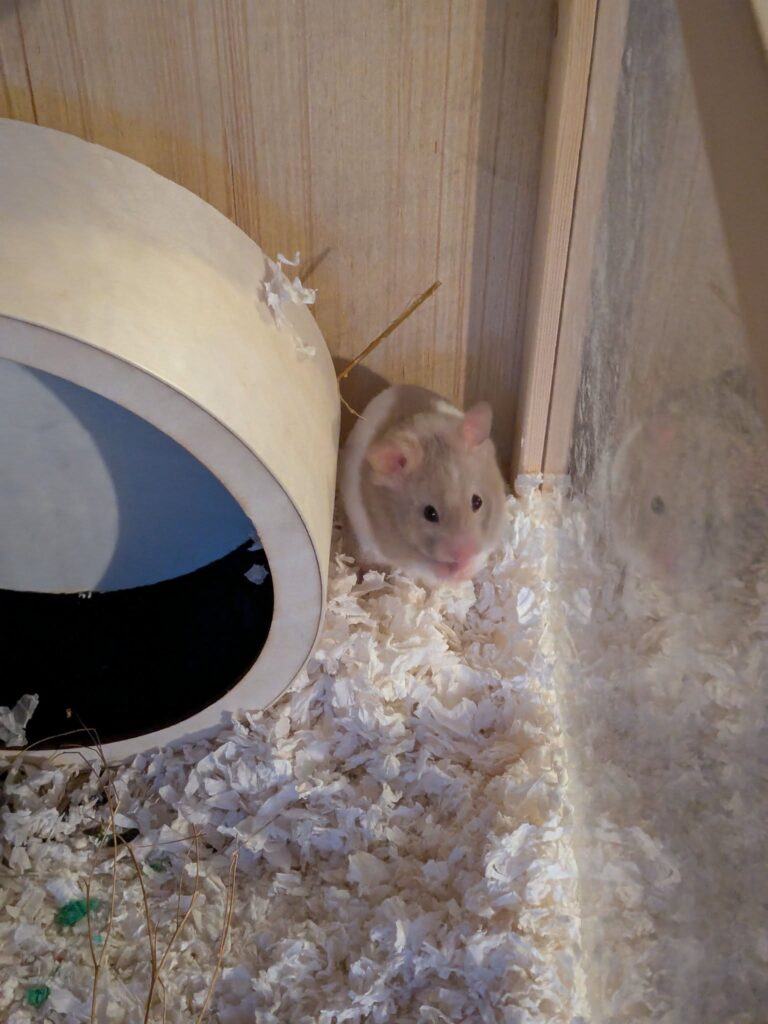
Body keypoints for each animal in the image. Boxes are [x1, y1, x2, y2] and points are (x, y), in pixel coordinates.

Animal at [339, 385, 507, 585]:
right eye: (430, 513)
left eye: (477, 501)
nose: (464, 554)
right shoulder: (399, 551)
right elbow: (428, 566)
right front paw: (452, 574)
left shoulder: (490, 533)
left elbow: (478, 556)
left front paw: (464, 571)